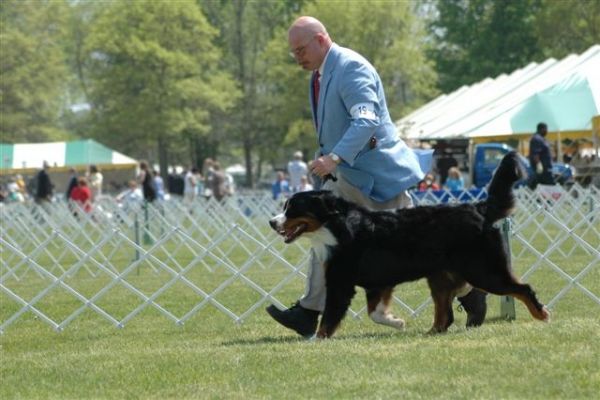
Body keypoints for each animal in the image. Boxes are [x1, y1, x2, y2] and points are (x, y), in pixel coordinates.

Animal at [270, 152, 552, 340]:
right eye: (284, 207)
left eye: (292, 208)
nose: (273, 222)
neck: (335, 226)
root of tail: (478, 208)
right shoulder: (377, 282)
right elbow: (375, 312)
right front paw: (396, 322)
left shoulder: (341, 281)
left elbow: (330, 316)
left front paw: (318, 339)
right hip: (441, 276)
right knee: (445, 314)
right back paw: (432, 331)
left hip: (483, 270)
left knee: (522, 288)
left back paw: (542, 315)